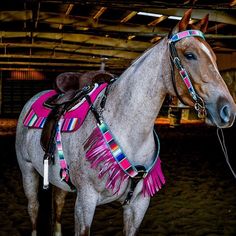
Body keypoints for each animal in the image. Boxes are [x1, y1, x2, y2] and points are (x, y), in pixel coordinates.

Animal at [16, 9, 236, 236]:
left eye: (215, 57)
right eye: (190, 55)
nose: (227, 110)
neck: (128, 130)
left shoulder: (138, 204)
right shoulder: (85, 201)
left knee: (57, 207)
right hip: (28, 172)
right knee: (33, 209)